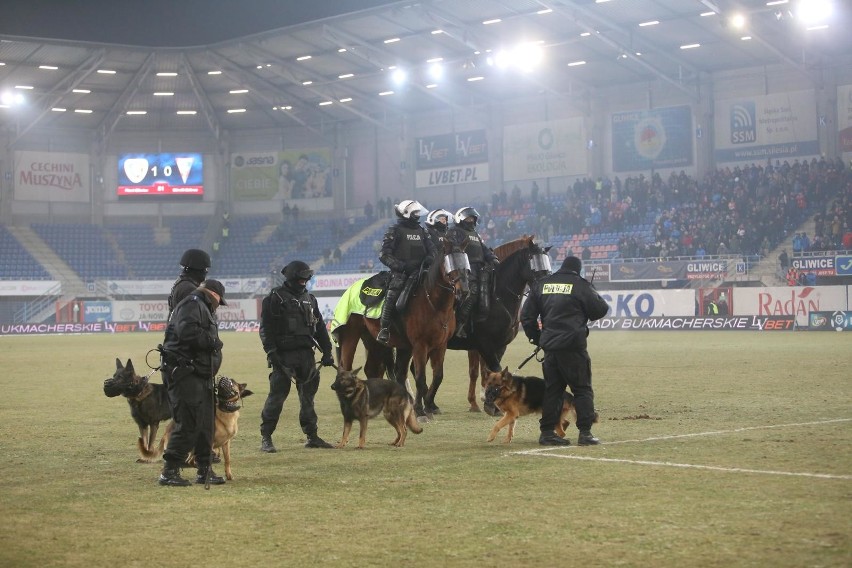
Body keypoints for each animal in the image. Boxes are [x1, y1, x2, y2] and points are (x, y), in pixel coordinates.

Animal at [332, 237, 470, 420]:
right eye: (450, 266)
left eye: (465, 264)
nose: (464, 291)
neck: (434, 304)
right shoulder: (420, 345)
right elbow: (420, 377)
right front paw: (420, 411)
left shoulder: (440, 345)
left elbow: (438, 376)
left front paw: (430, 406)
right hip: (351, 335)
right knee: (345, 366)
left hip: (375, 341)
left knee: (374, 368)